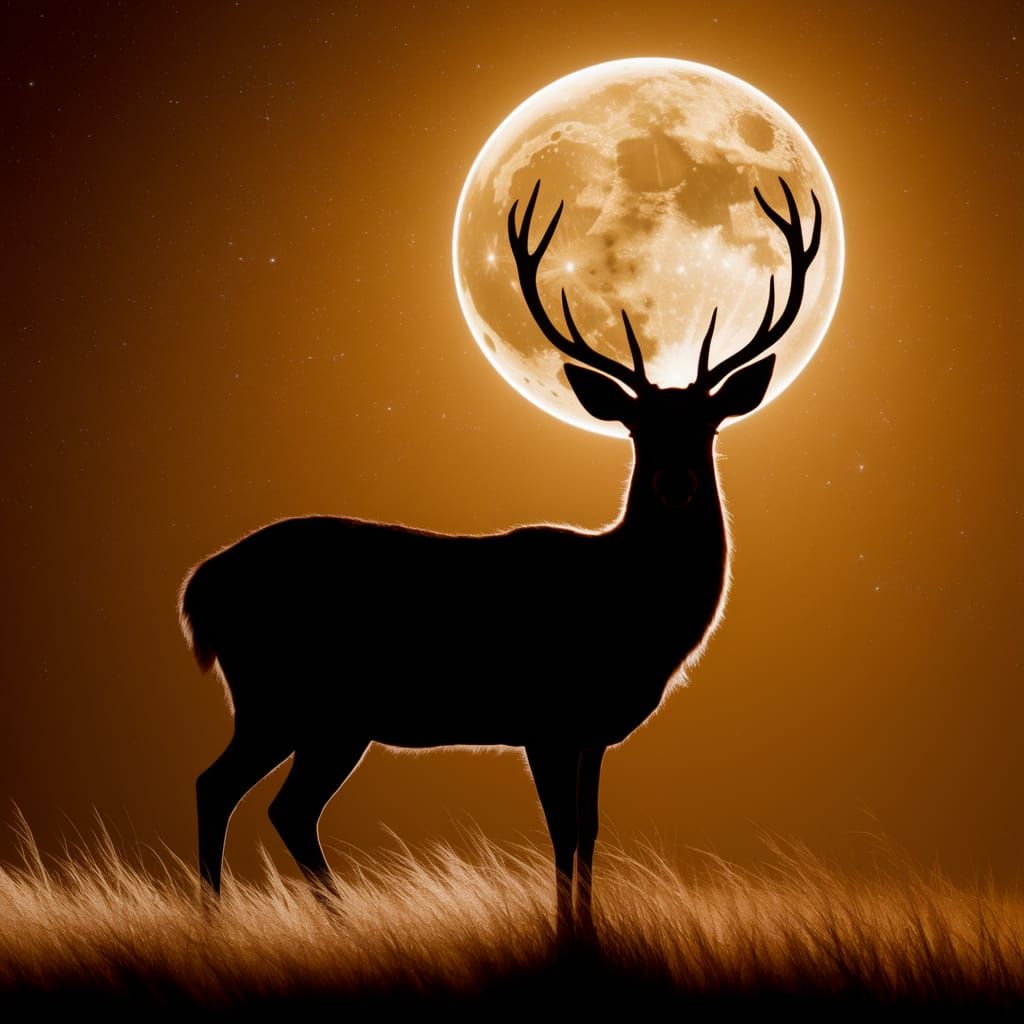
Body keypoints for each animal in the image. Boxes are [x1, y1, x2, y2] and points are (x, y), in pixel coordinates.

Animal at [179, 176, 821, 937]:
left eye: (708, 424)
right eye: (638, 429)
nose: (675, 482)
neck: (628, 606)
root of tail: (200, 586)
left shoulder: (590, 730)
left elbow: (589, 829)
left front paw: (585, 929)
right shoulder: (546, 716)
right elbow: (561, 830)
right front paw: (567, 933)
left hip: (329, 717)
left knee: (285, 807)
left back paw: (331, 924)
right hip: (281, 695)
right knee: (221, 787)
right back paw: (220, 926)